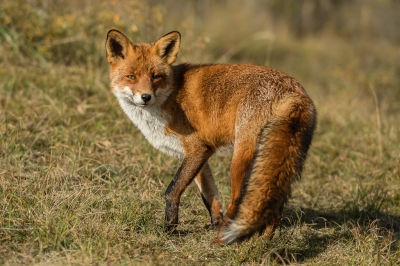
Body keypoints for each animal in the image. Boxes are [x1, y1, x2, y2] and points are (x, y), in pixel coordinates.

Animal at [105, 29, 316, 243]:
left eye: (156, 77)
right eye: (131, 76)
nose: (146, 97)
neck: (170, 97)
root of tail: (294, 91)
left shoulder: (196, 149)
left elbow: (172, 190)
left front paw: (170, 228)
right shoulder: (199, 153)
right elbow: (209, 195)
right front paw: (214, 222)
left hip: (240, 160)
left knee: (238, 199)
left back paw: (223, 238)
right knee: (274, 202)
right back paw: (263, 240)